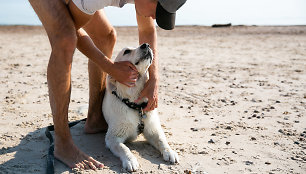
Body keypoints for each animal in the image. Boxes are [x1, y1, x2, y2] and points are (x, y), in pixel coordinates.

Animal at [103, 43, 179, 171]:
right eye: (127, 51)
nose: (146, 45)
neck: (136, 106)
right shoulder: (112, 137)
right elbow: (123, 148)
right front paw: (130, 160)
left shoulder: (153, 129)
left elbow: (162, 140)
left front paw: (169, 152)